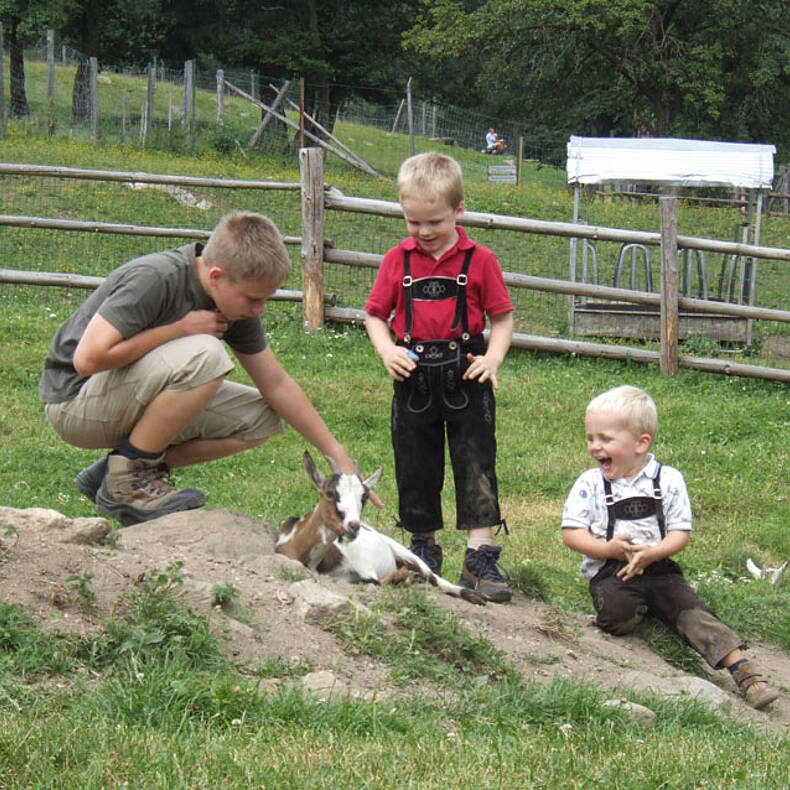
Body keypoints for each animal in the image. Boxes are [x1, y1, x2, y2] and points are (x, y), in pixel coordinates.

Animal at [276, 452, 488, 608]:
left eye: (364, 497)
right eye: (329, 493)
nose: (353, 526)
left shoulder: (365, 571)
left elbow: (375, 581)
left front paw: (404, 577)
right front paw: (404, 578)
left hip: (404, 551)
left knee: (435, 578)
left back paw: (476, 595)